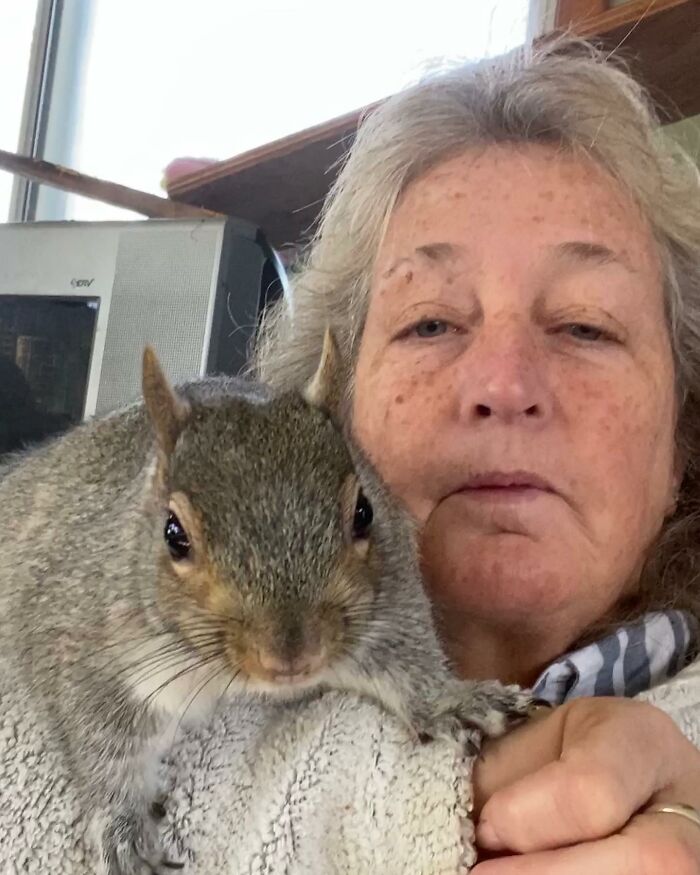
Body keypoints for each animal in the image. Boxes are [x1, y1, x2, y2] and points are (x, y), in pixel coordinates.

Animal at [0, 332, 534, 874]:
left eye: (363, 512)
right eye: (174, 535)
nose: (294, 654)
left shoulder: (388, 601)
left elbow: (405, 658)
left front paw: (449, 700)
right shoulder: (85, 645)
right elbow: (100, 739)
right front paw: (120, 828)